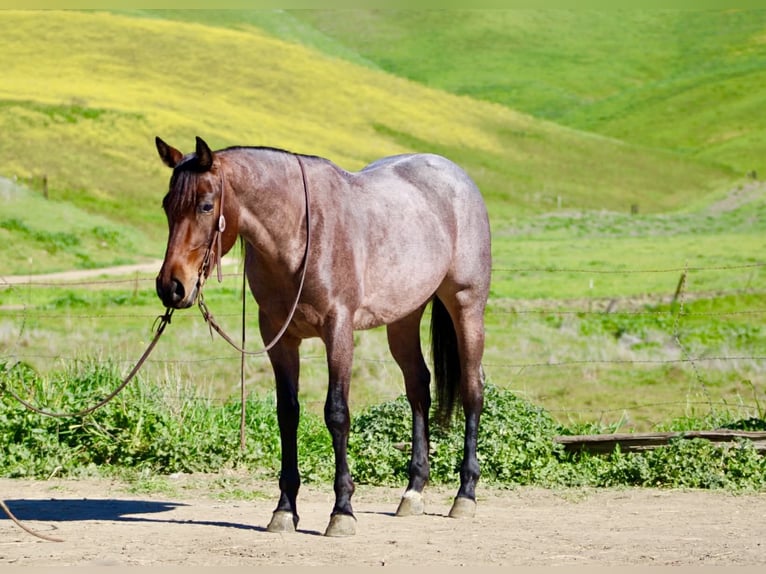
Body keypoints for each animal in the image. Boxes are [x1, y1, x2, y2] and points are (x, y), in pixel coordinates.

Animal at [154, 136, 491, 537]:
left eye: (206, 205)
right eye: (167, 205)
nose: (171, 287)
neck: (300, 234)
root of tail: (457, 178)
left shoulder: (338, 330)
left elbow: (337, 414)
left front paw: (342, 511)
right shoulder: (279, 337)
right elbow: (288, 413)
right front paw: (285, 510)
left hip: (466, 306)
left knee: (472, 388)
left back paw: (465, 494)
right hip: (404, 318)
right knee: (418, 389)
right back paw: (413, 491)